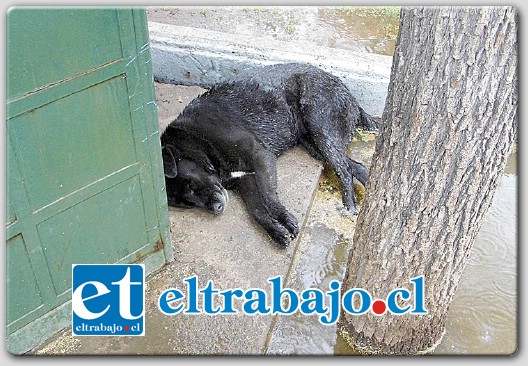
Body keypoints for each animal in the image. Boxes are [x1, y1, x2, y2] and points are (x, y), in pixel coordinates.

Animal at [159, 63, 378, 247]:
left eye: (190, 185)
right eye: (186, 203)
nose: (216, 208)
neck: (196, 137)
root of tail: (350, 94)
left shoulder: (260, 155)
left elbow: (269, 197)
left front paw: (286, 219)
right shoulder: (244, 178)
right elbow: (257, 211)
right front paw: (277, 233)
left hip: (320, 127)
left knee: (344, 169)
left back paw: (349, 204)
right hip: (314, 144)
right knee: (355, 166)